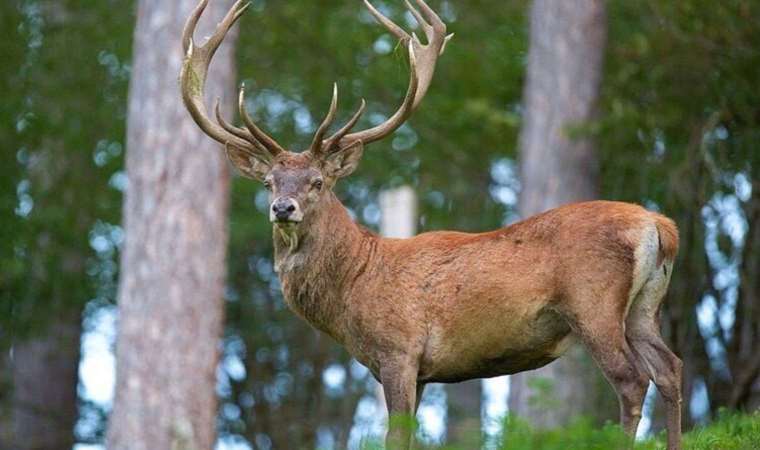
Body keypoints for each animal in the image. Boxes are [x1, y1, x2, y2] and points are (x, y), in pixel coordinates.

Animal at [178, 1, 684, 448]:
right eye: (268, 182)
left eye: (317, 182)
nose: (283, 208)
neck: (355, 284)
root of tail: (660, 225)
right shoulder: (419, 370)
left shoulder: (399, 350)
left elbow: (396, 437)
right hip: (643, 308)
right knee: (671, 369)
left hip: (593, 303)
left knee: (632, 380)